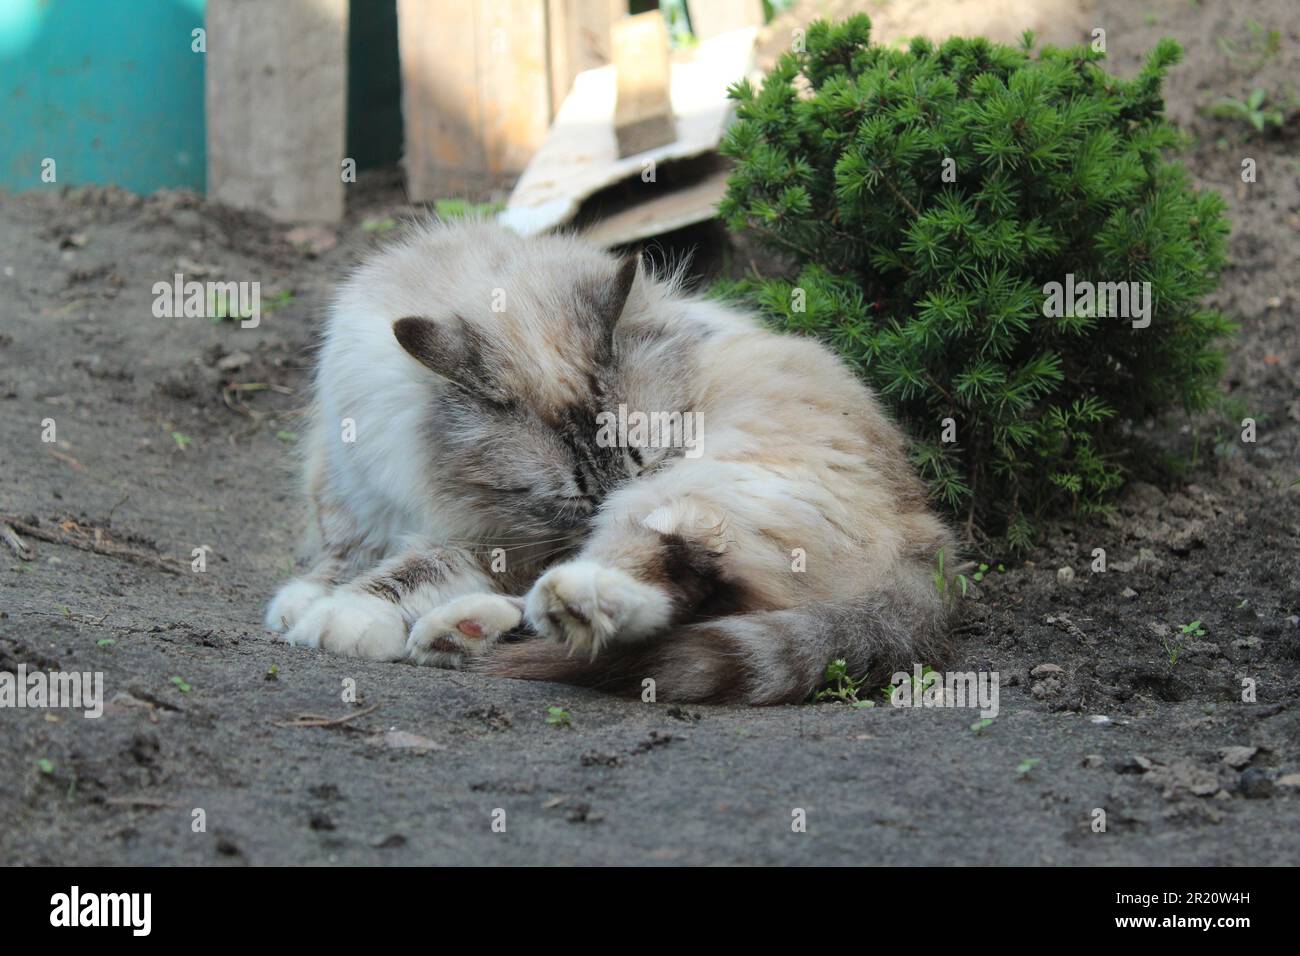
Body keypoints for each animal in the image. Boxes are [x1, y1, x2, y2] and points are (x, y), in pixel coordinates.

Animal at [263, 221, 961, 707]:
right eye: (570, 497)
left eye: (644, 460)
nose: (596, 512)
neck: (424, 464)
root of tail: (929, 535)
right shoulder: (351, 483)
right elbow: (344, 549)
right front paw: (308, 598)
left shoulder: (499, 542)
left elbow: (414, 567)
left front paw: (344, 617)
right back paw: (464, 632)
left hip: (698, 492)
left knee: (674, 582)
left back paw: (563, 604)